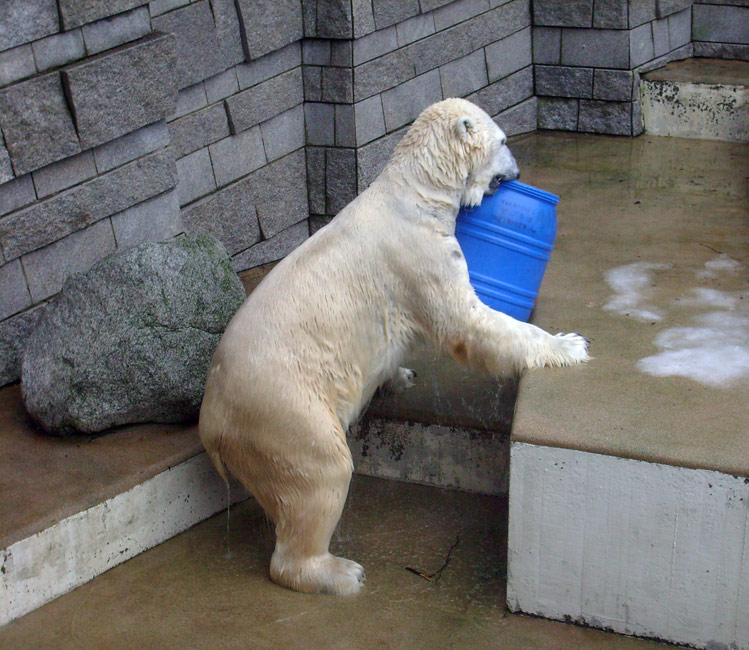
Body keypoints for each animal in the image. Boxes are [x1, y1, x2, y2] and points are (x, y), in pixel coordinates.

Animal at [200, 96, 592, 592]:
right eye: (504, 141)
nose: (518, 171)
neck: (415, 193)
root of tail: (211, 420)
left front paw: (401, 375)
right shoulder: (418, 255)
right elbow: (467, 322)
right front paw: (570, 344)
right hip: (281, 406)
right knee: (321, 470)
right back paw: (340, 572)